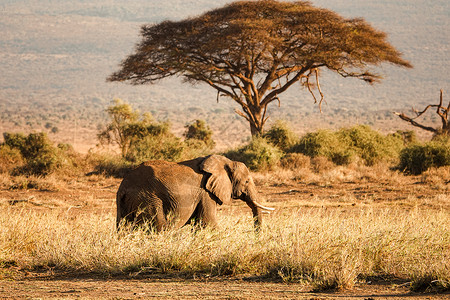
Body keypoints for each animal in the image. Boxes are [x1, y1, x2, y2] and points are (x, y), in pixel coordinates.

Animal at [115, 155, 274, 232]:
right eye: (247, 181)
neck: (226, 162)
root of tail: (124, 187)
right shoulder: (205, 193)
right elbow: (208, 223)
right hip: (148, 199)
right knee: (159, 226)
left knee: (123, 228)